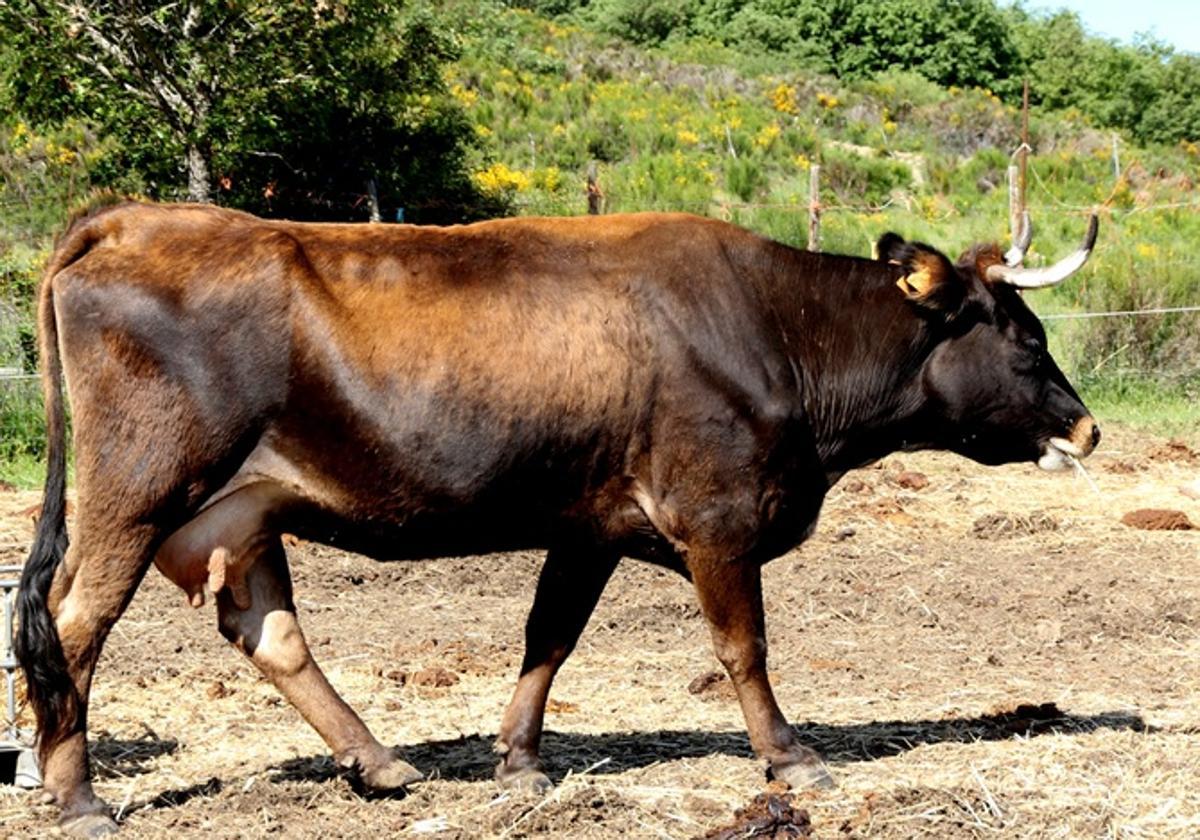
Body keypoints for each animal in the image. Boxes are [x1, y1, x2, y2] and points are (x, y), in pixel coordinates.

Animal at [16, 201, 1099, 835]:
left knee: (268, 633)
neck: (777, 330)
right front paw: (792, 759)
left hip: (241, 509)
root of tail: (131, 220)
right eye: (1023, 336)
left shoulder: (588, 526)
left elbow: (550, 639)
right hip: (137, 493)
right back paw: (75, 795)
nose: (1086, 428)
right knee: (73, 627)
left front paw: (520, 763)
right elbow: (742, 647)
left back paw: (379, 764)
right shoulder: (719, 517)